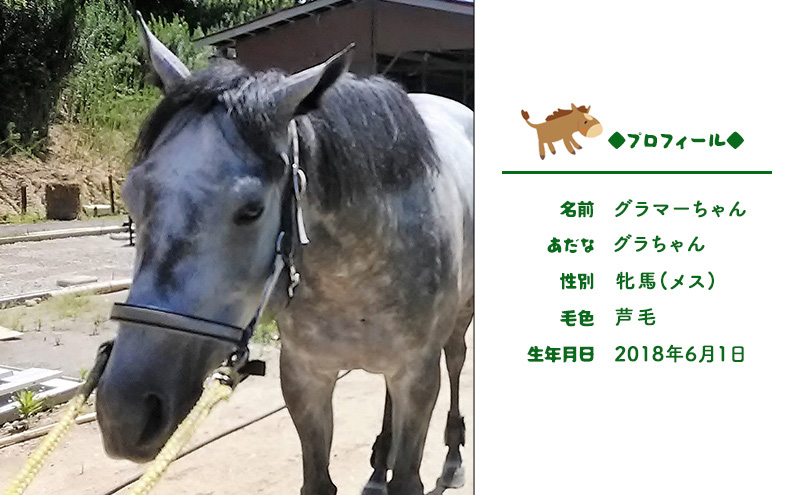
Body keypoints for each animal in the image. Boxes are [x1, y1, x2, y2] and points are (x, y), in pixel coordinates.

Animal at [94, 15, 473, 495]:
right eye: (132, 193)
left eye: (251, 210)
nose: (125, 413)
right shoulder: (304, 378)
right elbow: (317, 479)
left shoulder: (418, 376)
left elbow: (408, 475)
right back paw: (376, 467)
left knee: (457, 359)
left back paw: (454, 456)